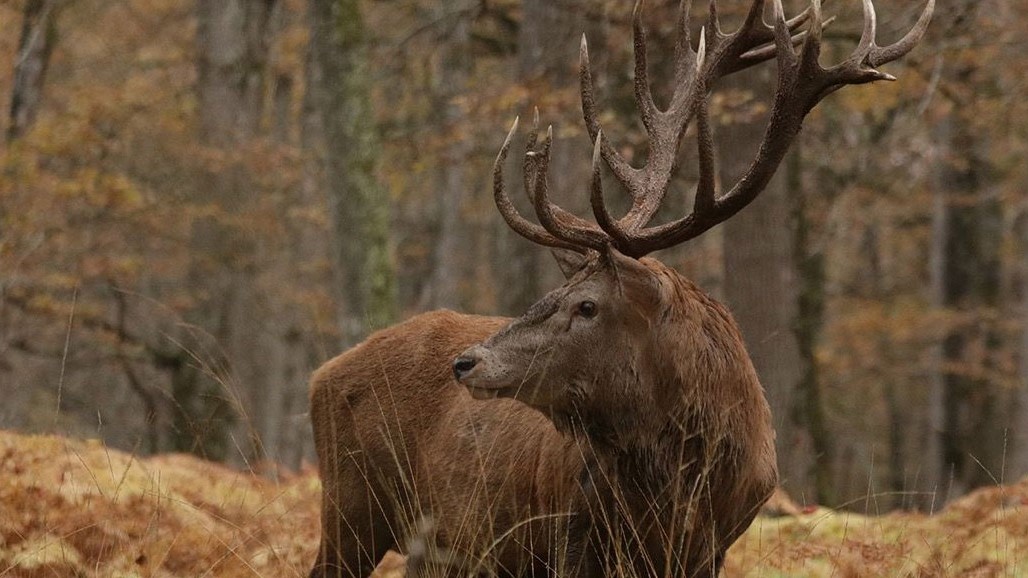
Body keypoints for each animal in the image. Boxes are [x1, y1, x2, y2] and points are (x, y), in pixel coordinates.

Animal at [309, 1, 932, 576]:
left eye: (587, 305)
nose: (466, 362)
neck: (681, 496)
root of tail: (322, 374)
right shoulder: (569, 536)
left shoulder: (713, 547)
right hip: (352, 506)